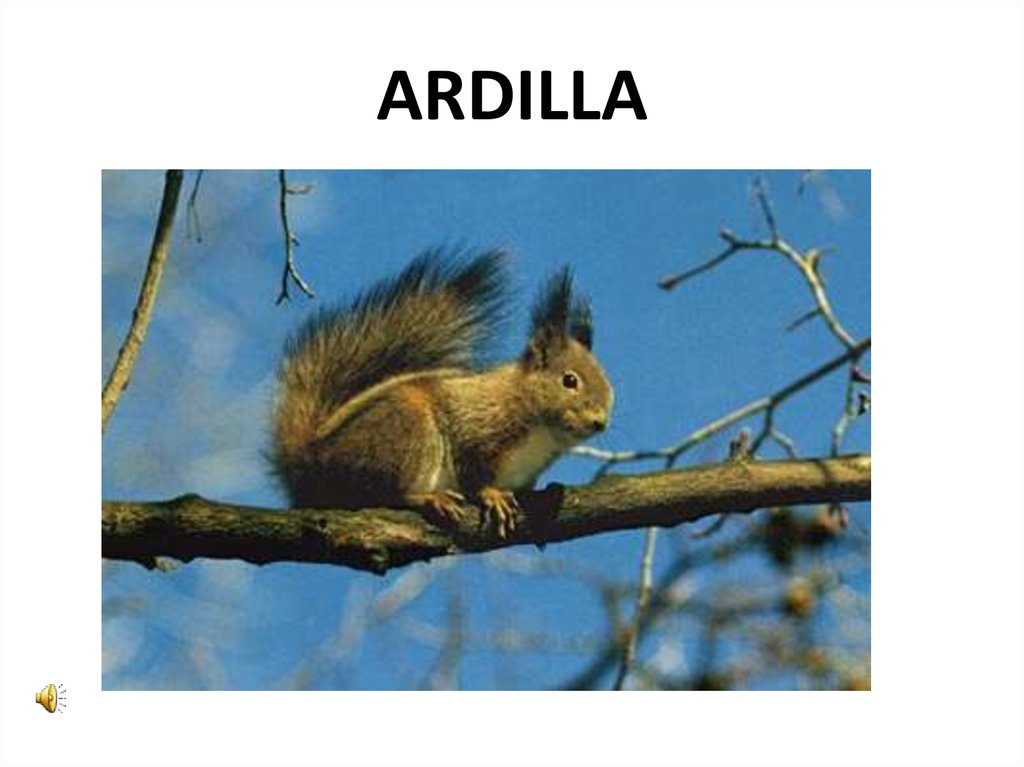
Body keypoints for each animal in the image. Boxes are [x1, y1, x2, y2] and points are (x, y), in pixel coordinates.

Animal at [271, 249, 613, 538]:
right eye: (569, 380)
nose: (600, 422)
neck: (542, 433)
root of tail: (311, 468)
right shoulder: (478, 430)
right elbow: (474, 470)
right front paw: (491, 495)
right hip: (401, 432)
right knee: (382, 494)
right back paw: (428, 498)